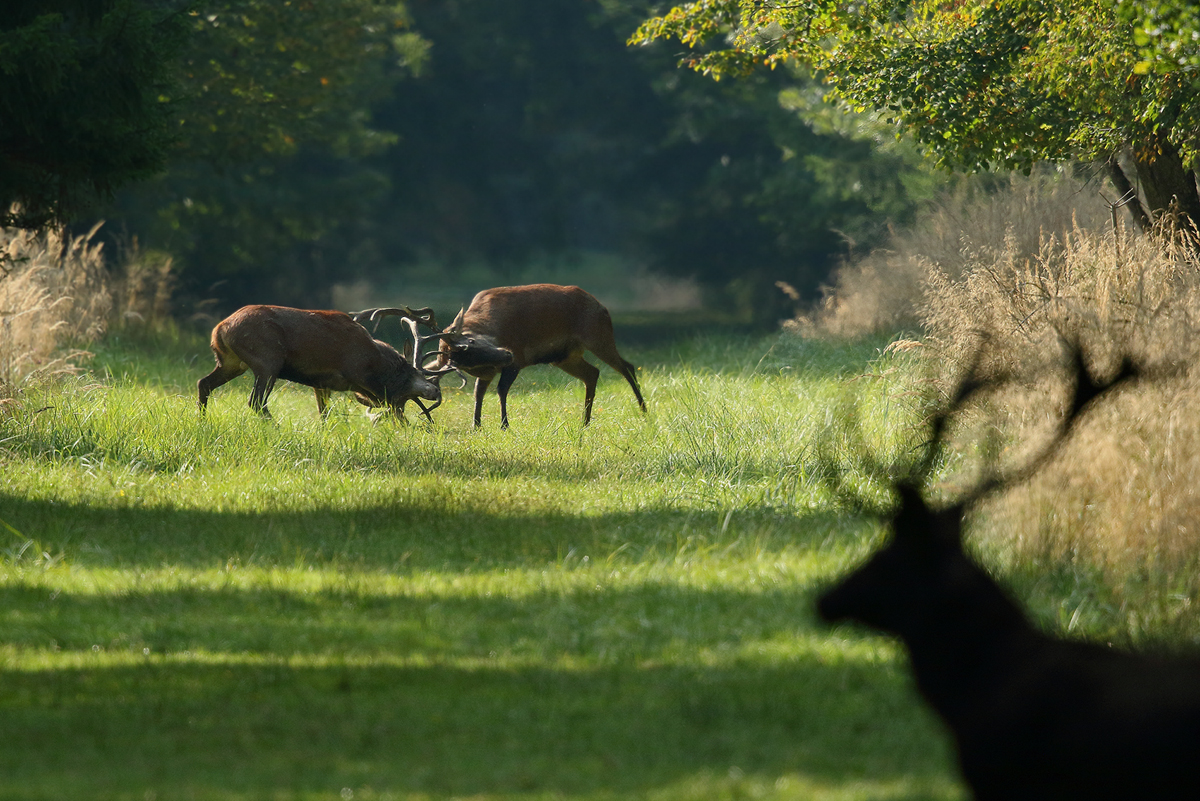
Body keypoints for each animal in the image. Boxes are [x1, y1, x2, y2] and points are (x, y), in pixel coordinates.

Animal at [199, 303, 456, 422]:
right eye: (416, 375)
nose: (435, 392)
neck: (374, 363)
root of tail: (219, 329)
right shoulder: (354, 374)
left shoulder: (320, 382)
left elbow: (324, 413)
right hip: (267, 360)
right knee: (256, 401)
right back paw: (276, 427)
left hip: (231, 363)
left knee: (204, 383)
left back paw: (202, 421)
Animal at [434, 284, 643, 429]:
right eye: (468, 366)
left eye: (470, 343)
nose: (506, 355)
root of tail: (602, 307)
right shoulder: (489, 370)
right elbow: (479, 392)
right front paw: (476, 426)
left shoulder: (518, 356)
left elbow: (501, 390)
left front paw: (505, 425)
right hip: (565, 357)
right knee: (593, 372)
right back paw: (585, 422)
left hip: (597, 335)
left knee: (627, 366)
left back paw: (643, 410)